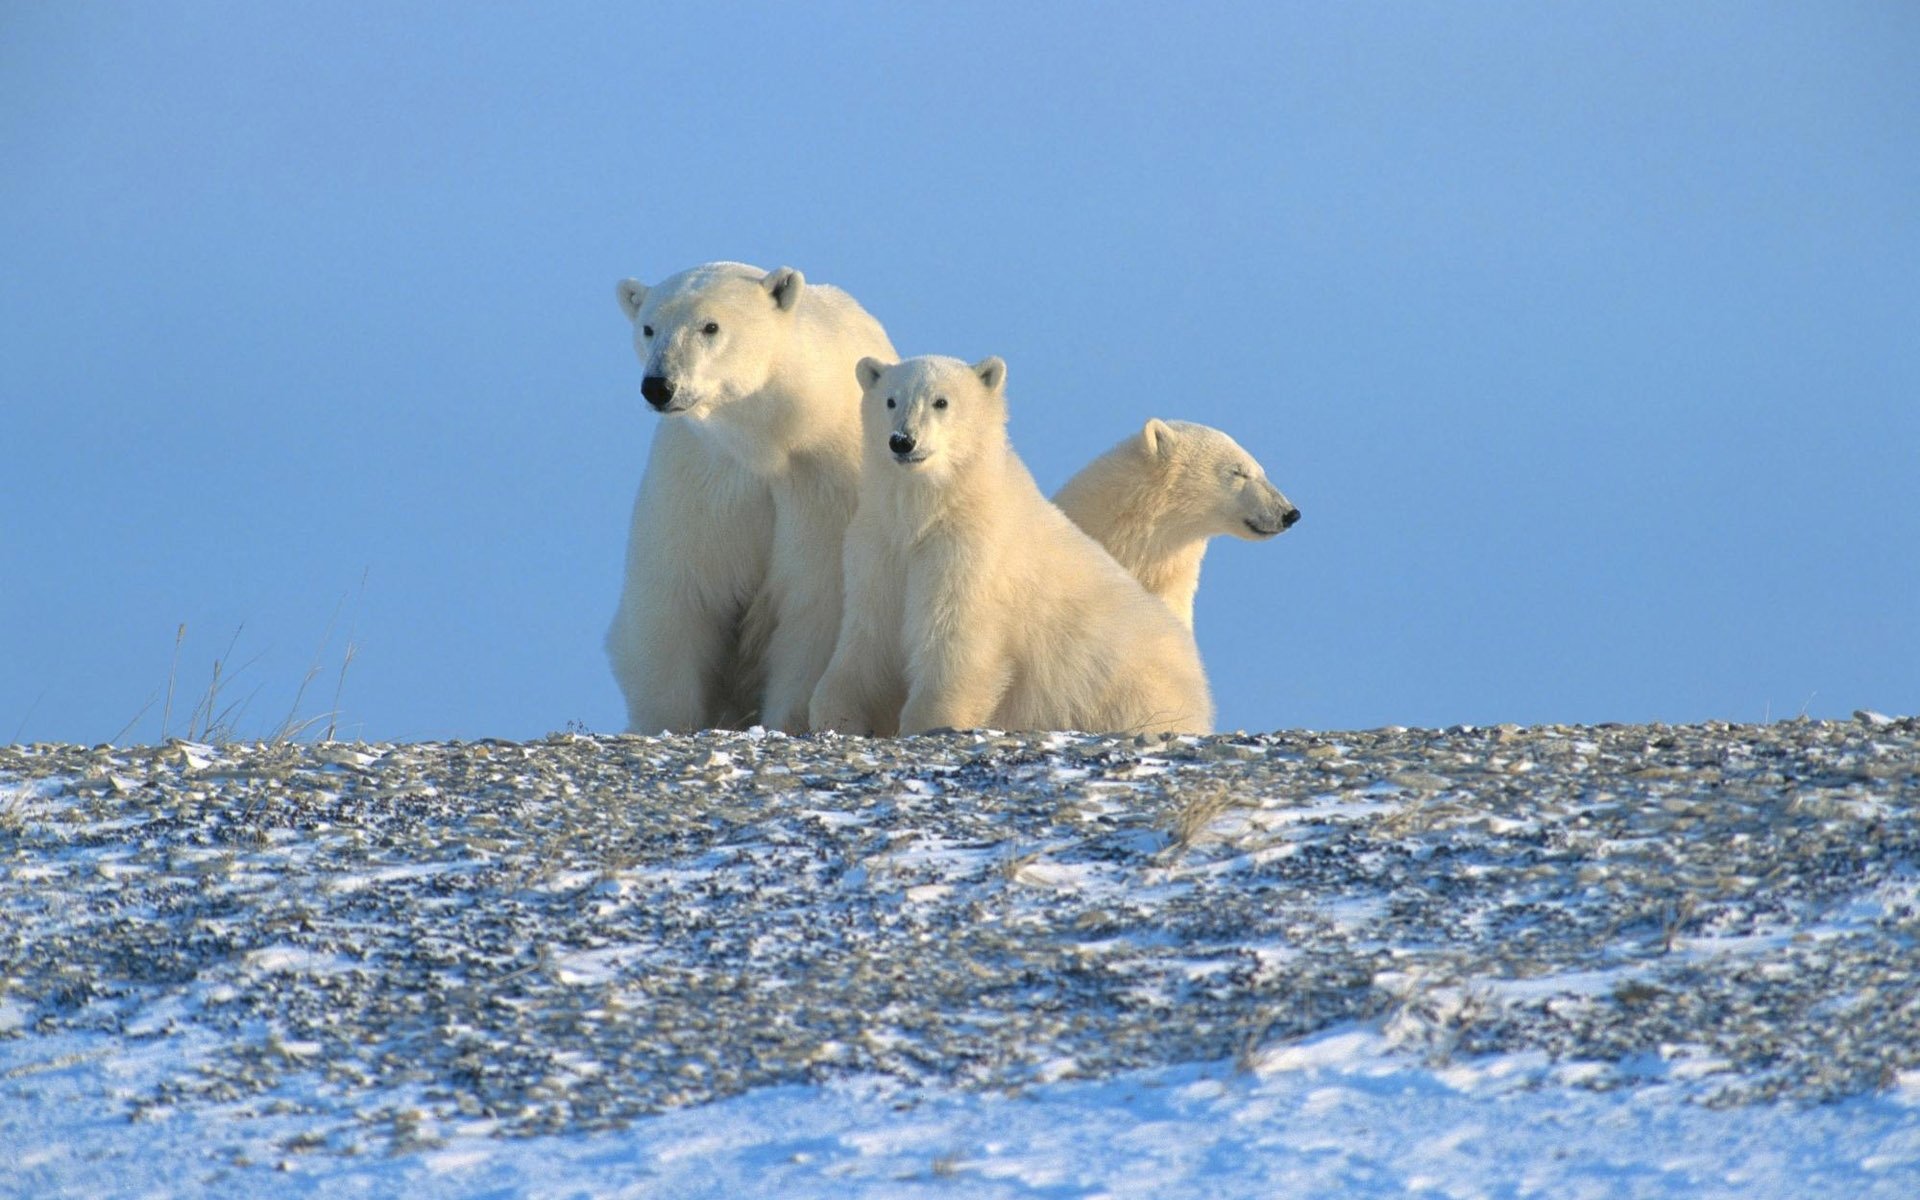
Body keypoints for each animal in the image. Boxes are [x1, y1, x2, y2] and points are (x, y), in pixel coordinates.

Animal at [607, 261, 896, 733]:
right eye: (649, 327)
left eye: (710, 326)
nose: (659, 386)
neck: (771, 440)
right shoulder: (702, 480)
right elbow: (678, 596)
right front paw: (665, 721)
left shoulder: (823, 485)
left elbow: (813, 604)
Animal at [809, 355, 1215, 737]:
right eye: (891, 400)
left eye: (941, 401)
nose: (903, 440)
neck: (932, 511)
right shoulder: (880, 548)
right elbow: (869, 637)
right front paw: (837, 714)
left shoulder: (970, 554)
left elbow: (955, 640)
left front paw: (930, 719)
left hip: (1129, 689)